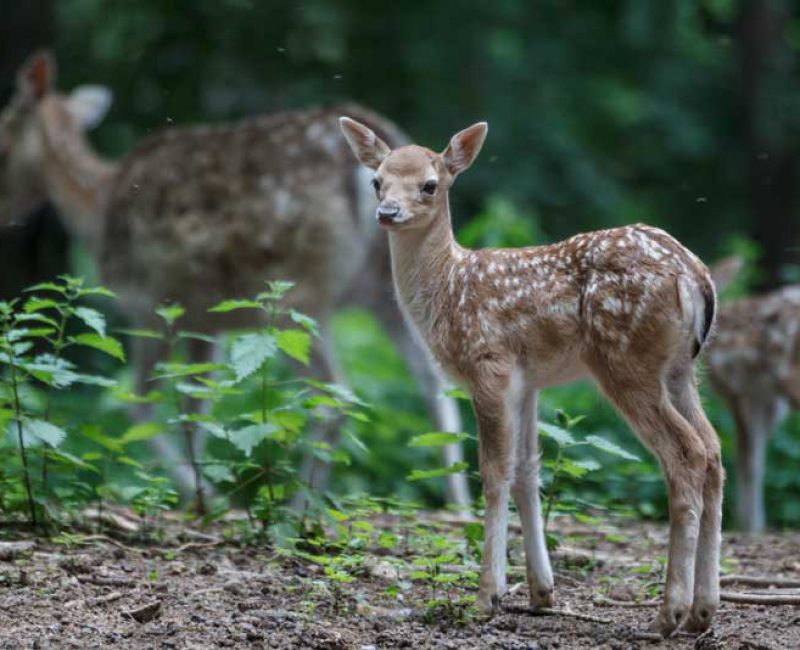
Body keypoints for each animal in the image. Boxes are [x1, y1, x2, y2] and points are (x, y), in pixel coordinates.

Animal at [0, 49, 472, 506]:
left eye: (3, 127)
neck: (96, 210)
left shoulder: (154, 307)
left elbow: (145, 408)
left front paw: (204, 496)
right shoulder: (205, 323)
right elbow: (197, 410)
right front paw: (204, 489)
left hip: (297, 292)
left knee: (334, 396)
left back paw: (297, 508)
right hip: (381, 290)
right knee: (433, 382)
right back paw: (458, 505)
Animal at [340, 115, 720, 632]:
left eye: (430, 184)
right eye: (376, 180)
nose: (387, 211)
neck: (448, 289)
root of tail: (694, 276)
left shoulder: (489, 365)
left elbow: (494, 472)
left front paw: (487, 596)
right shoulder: (529, 381)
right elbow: (527, 471)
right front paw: (541, 592)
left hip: (626, 361)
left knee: (685, 454)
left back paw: (669, 612)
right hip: (681, 369)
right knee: (714, 450)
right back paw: (704, 610)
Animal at [708, 256, 800, 532]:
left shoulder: (736, 391)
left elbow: (746, 458)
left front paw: (748, 525)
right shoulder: (766, 400)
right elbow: (757, 460)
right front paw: (754, 525)